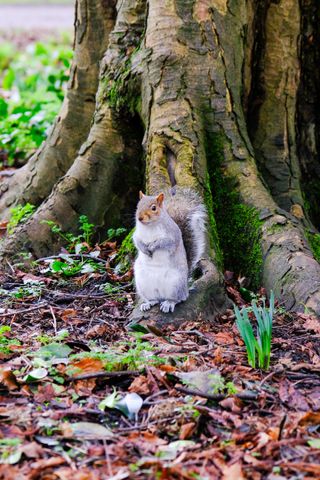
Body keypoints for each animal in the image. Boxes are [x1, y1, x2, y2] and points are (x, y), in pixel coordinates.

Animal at [133, 188, 206, 316]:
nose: (139, 218)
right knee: (155, 299)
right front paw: (144, 249)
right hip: (144, 284)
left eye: (154, 208)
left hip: (175, 284)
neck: (149, 226)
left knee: (178, 299)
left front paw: (153, 246)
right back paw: (148, 303)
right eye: (138, 206)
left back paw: (168, 304)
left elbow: (165, 242)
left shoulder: (172, 236)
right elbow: (137, 241)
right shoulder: (137, 234)